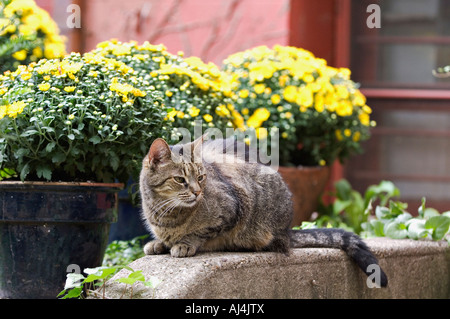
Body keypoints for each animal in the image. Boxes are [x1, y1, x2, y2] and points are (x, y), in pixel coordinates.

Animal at [140, 136, 386, 288]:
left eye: (201, 177)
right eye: (180, 180)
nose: (198, 192)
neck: (166, 214)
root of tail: (287, 230)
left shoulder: (232, 208)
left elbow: (200, 233)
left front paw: (184, 243)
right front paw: (159, 243)